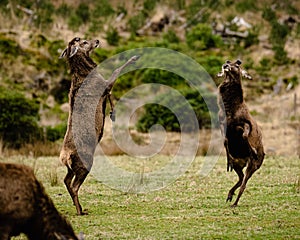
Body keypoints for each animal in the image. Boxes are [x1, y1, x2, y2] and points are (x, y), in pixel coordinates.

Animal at [59, 38, 139, 216]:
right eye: (83, 41)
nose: (96, 40)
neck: (88, 72)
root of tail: (64, 156)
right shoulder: (105, 85)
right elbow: (117, 70)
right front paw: (134, 57)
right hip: (85, 164)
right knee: (74, 186)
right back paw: (80, 211)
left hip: (71, 168)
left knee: (66, 180)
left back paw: (80, 208)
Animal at [217, 59, 264, 206]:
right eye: (227, 61)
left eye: (238, 64)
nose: (225, 65)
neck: (230, 111)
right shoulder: (222, 124)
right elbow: (225, 141)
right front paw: (228, 160)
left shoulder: (246, 123)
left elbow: (244, 135)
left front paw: (252, 150)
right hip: (239, 165)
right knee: (241, 177)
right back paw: (229, 195)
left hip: (253, 166)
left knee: (244, 182)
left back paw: (235, 202)